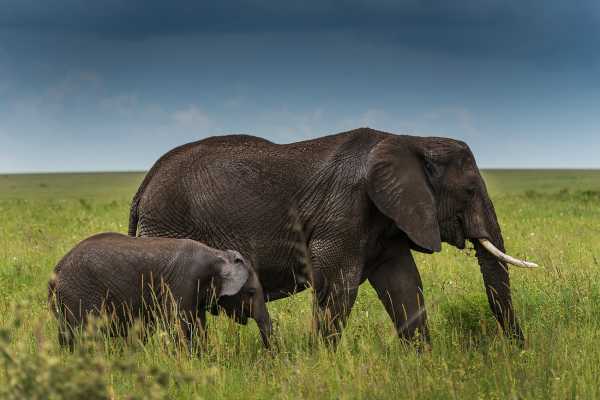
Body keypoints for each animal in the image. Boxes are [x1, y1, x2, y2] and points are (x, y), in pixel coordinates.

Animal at [49, 233, 272, 348]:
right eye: (251, 292)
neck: (218, 255)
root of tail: (57, 270)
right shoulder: (184, 282)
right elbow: (179, 324)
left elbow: (198, 325)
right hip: (79, 293)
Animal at [129, 127, 536, 344]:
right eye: (469, 191)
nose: (518, 349)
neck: (410, 140)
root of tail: (143, 186)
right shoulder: (344, 212)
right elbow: (337, 287)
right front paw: (319, 360)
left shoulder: (384, 222)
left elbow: (404, 286)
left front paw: (425, 362)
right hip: (168, 228)